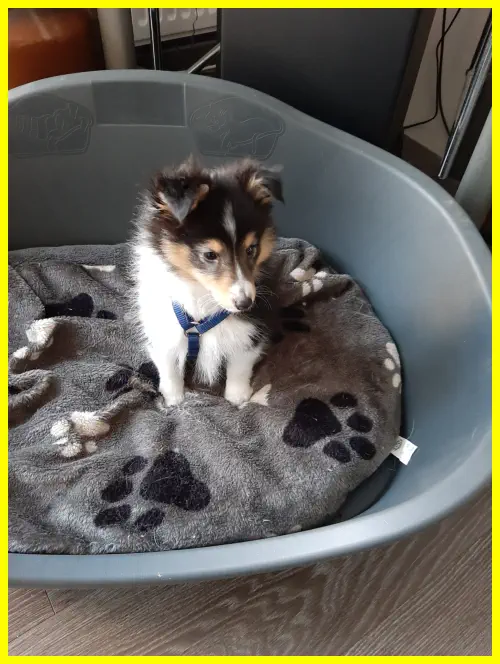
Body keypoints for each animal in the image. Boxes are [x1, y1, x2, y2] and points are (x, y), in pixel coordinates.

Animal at [131, 157, 283, 407]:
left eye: (251, 249)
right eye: (210, 255)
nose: (245, 304)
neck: (203, 296)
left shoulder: (254, 323)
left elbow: (240, 361)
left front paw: (237, 397)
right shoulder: (162, 323)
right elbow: (168, 363)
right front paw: (173, 399)